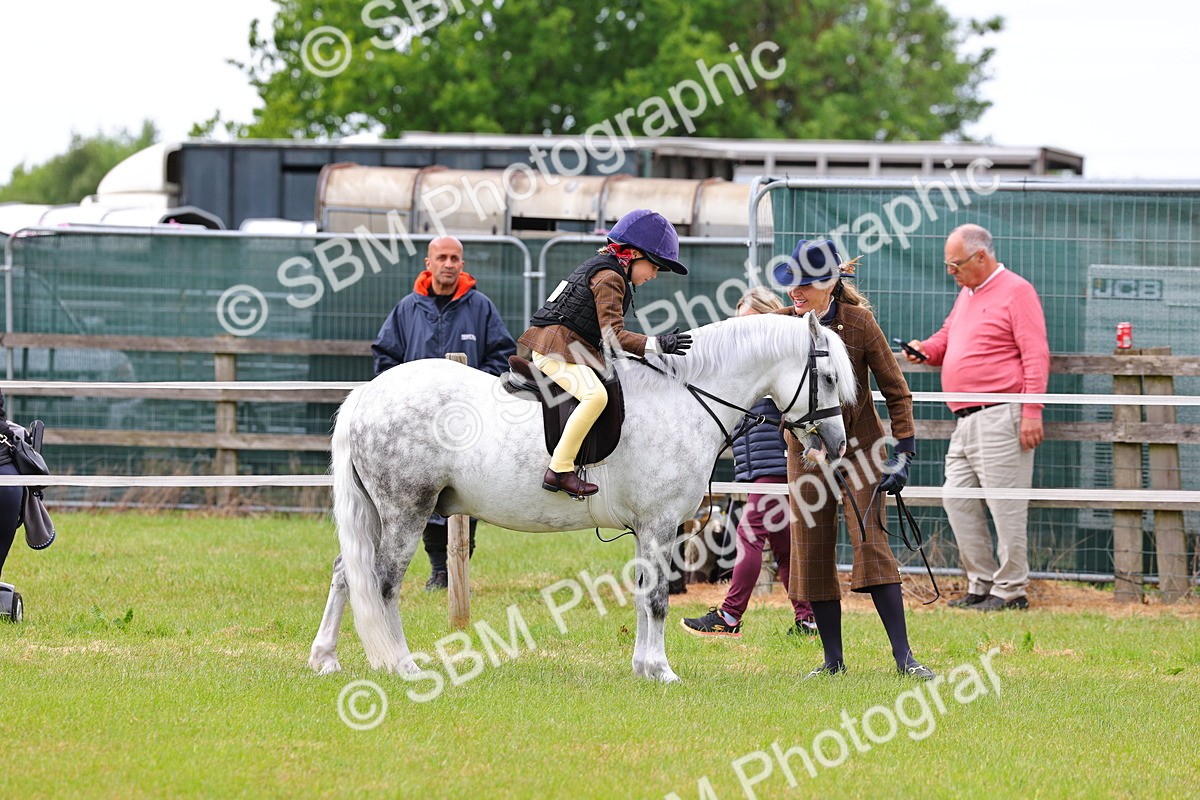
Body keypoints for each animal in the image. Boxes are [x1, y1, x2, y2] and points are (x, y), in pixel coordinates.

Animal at [308, 311, 857, 682]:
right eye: (828, 377)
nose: (835, 444)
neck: (684, 398)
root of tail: (368, 394)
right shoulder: (661, 525)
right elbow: (657, 598)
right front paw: (662, 670)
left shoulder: (648, 530)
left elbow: (642, 595)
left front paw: (642, 666)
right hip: (406, 511)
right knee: (382, 583)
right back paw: (401, 665)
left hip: (377, 514)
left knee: (345, 573)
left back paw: (325, 659)